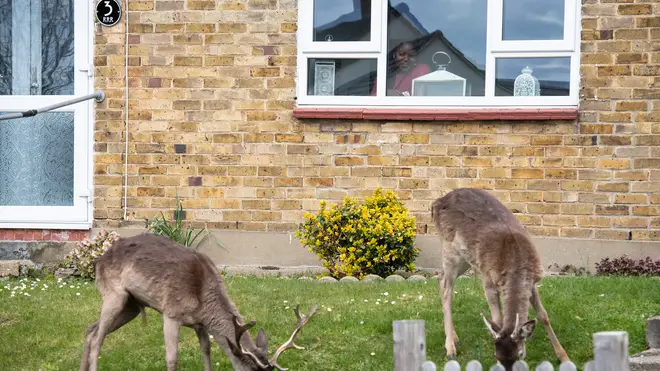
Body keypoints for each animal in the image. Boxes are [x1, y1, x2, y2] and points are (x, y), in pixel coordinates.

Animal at [79, 234, 318, 371]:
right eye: (253, 370)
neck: (203, 299)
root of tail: (98, 260)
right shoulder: (171, 312)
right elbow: (172, 359)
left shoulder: (200, 324)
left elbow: (206, 350)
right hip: (114, 294)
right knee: (98, 337)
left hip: (131, 306)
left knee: (91, 330)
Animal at [434, 190, 568, 370]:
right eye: (496, 356)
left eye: (520, 355)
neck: (515, 264)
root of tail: (436, 202)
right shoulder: (488, 281)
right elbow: (497, 320)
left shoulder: (533, 281)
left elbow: (543, 316)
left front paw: (564, 357)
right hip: (449, 250)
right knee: (447, 287)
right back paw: (450, 347)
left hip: (464, 258)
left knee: (441, 279)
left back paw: (454, 337)